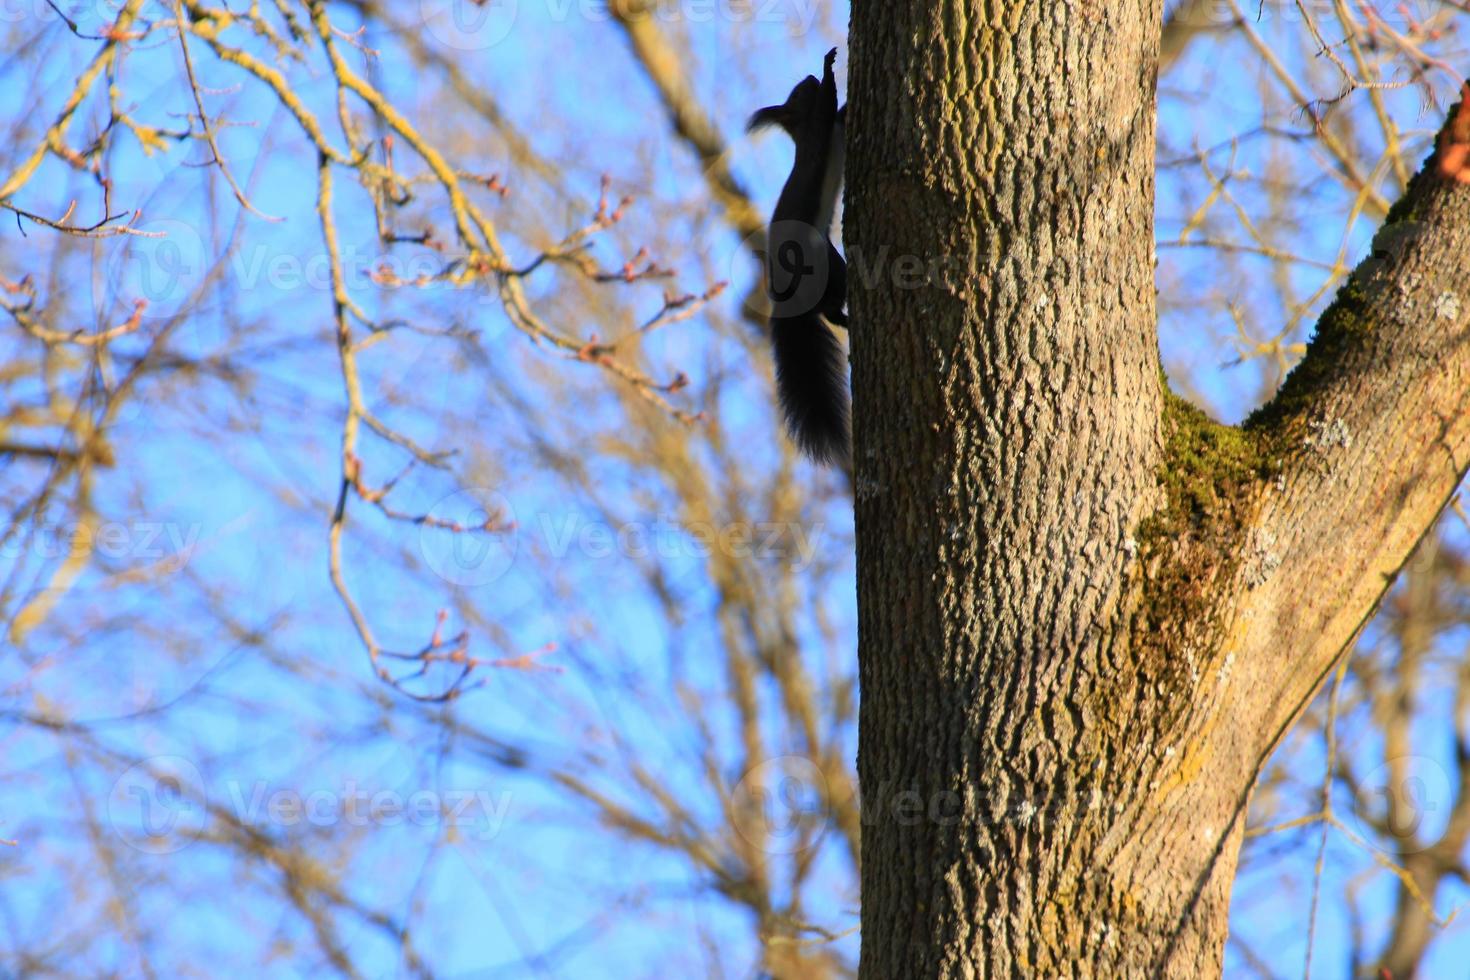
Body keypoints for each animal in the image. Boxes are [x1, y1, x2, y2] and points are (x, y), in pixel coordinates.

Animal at [746, 48, 852, 467]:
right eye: (797, 93)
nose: (808, 76)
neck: (800, 134)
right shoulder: (819, 130)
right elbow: (829, 107)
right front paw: (830, 68)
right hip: (821, 267)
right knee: (829, 305)